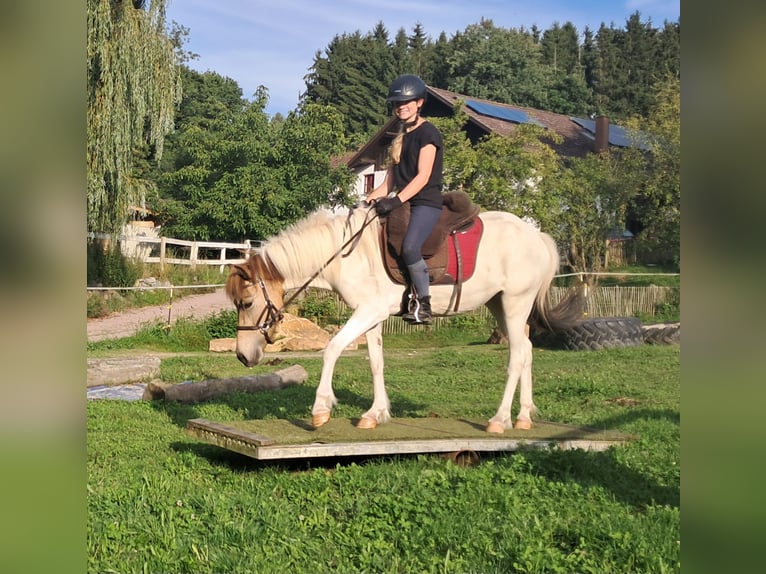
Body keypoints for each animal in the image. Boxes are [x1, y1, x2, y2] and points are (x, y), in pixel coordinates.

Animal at [225, 204, 582, 433]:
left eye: (246, 302)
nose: (242, 355)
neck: (347, 255)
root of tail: (539, 237)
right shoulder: (372, 315)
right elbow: (375, 361)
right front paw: (375, 413)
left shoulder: (368, 311)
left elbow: (332, 349)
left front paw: (321, 409)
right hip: (500, 304)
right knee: (527, 351)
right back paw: (523, 417)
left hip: (514, 302)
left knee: (517, 355)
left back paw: (500, 420)